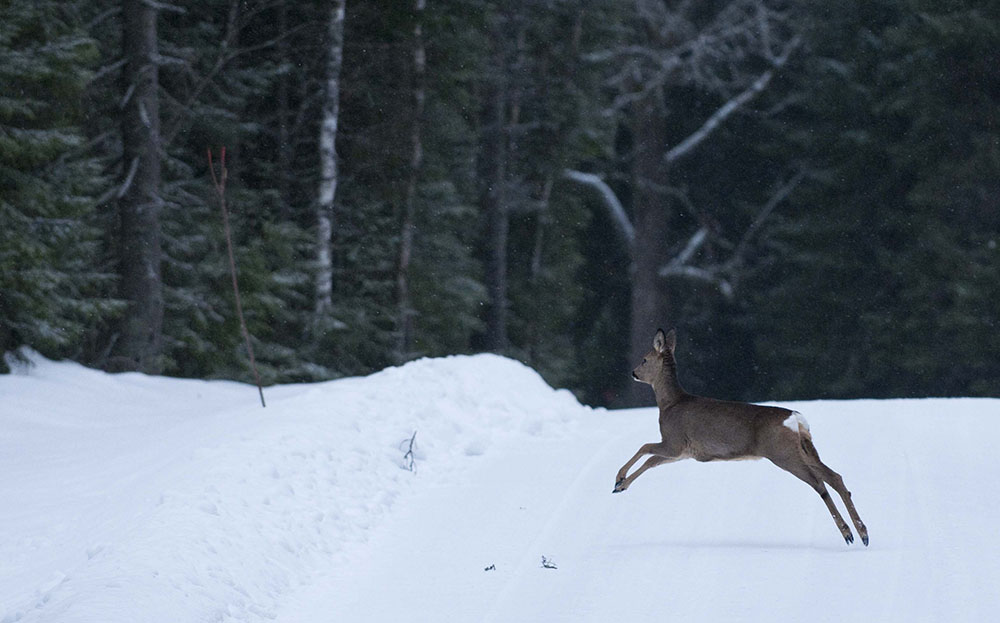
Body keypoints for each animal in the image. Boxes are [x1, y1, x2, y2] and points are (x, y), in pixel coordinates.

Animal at [608, 326, 868, 544]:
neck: (670, 404)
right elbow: (651, 461)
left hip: (783, 453)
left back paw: (848, 533)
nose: (633, 372)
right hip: (805, 448)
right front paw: (621, 485)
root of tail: (796, 419)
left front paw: (619, 479)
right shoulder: (682, 452)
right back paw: (862, 532)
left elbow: (645, 447)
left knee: (818, 483)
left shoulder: (674, 441)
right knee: (835, 477)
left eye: (644, 359)